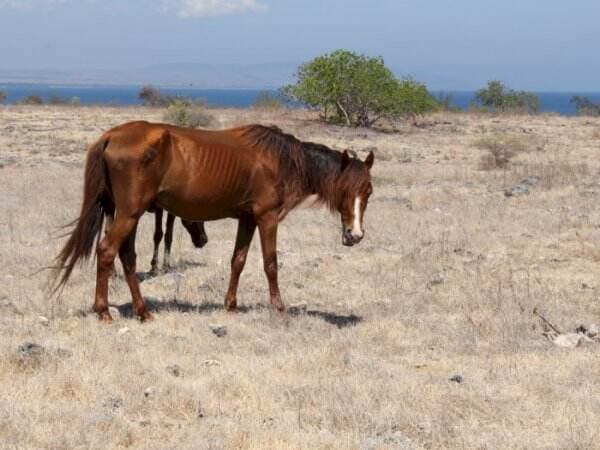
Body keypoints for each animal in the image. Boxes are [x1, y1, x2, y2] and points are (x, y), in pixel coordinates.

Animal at [56, 121, 376, 322]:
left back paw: (142, 311)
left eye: (369, 192)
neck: (280, 160)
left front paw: (230, 305)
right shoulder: (267, 217)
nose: (355, 234)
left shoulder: (247, 219)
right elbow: (270, 263)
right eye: (345, 190)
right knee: (107, 251)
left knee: (127, 257)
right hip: (129, 213)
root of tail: (111, 136)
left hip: (128, 215)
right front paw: (279, 307)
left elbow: (238, 260)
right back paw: (104, 311)